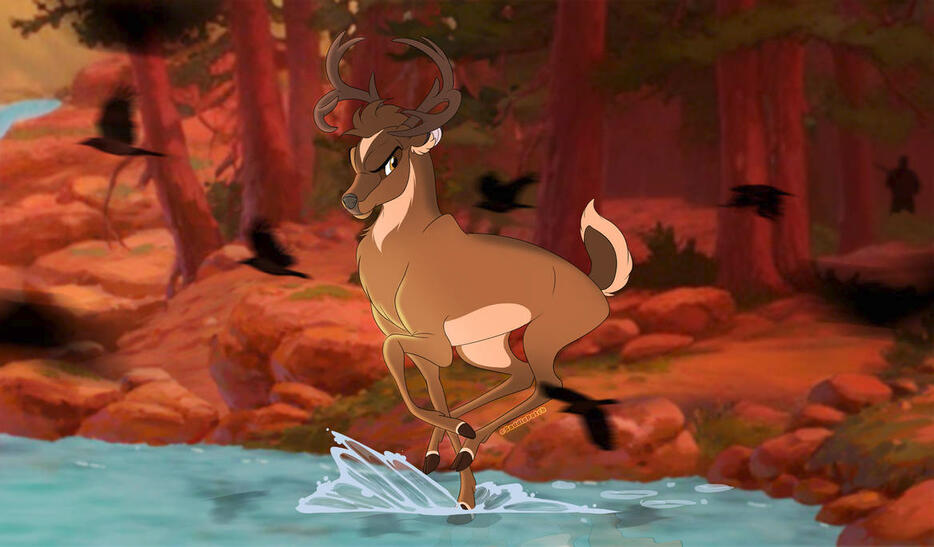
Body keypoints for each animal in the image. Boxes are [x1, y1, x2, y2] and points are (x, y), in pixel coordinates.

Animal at [313, 31, 633, 511]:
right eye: (357, 151)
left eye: (393, 158)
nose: (352, 202)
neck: (403, 253)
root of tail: (597, 288)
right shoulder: (427, 344)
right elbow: (429, 386)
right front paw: (453, 480)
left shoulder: (429, 338)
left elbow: (390, 353)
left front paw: (459, 456)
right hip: (483, 348)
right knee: (521, 375)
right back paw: (459, 455)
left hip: (540, 338)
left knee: (546, 382)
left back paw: (467, 448)